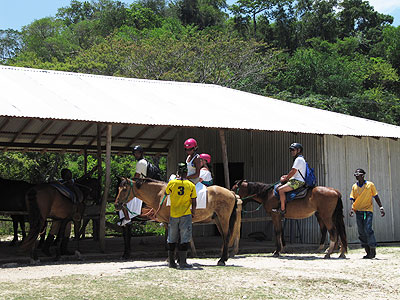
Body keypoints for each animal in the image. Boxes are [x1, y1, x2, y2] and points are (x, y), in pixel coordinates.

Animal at [114, 177, 242, 266]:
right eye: (118, 189)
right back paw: (224, 258)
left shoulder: (172, 222)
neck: (160, 194)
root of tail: (231, 193)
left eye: (124, 189)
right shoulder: (169, 223)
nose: (116, 205)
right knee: (224, 237)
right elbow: (174, 240)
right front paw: (176, 259)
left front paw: (174, 260)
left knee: (226, 236)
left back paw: (222, 260)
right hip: (217, 220)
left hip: (223, 219)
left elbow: (174, 240)